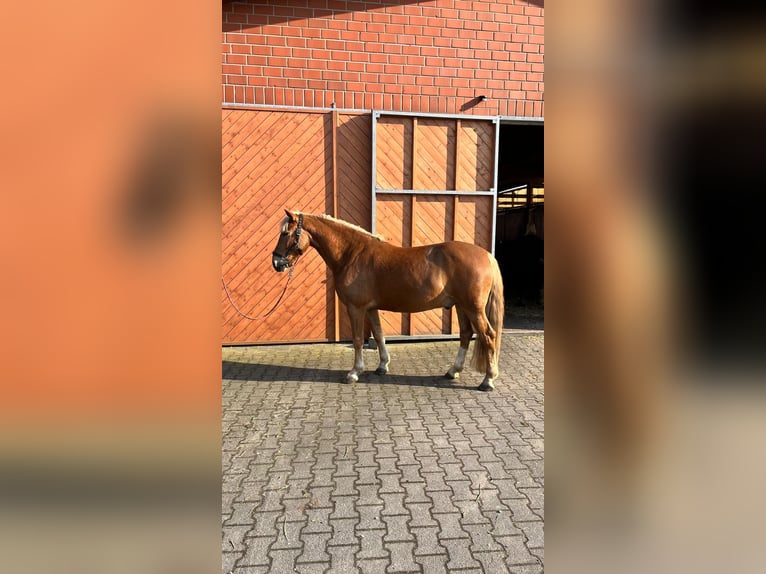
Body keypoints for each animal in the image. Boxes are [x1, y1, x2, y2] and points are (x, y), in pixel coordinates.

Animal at [271, 210, 505, 391]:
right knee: (466, 334)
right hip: (460, 306)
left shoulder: (356, 308)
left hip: (473, 308)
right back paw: (453, 371)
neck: (351, 254)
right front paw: (382, 366)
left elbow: (358, 339)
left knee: (488, 336)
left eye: (286, 233)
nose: (276, 263)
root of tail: (487, 255)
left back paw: (488, 380)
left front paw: (354, 373)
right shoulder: (371, 308)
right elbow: (379, 334)